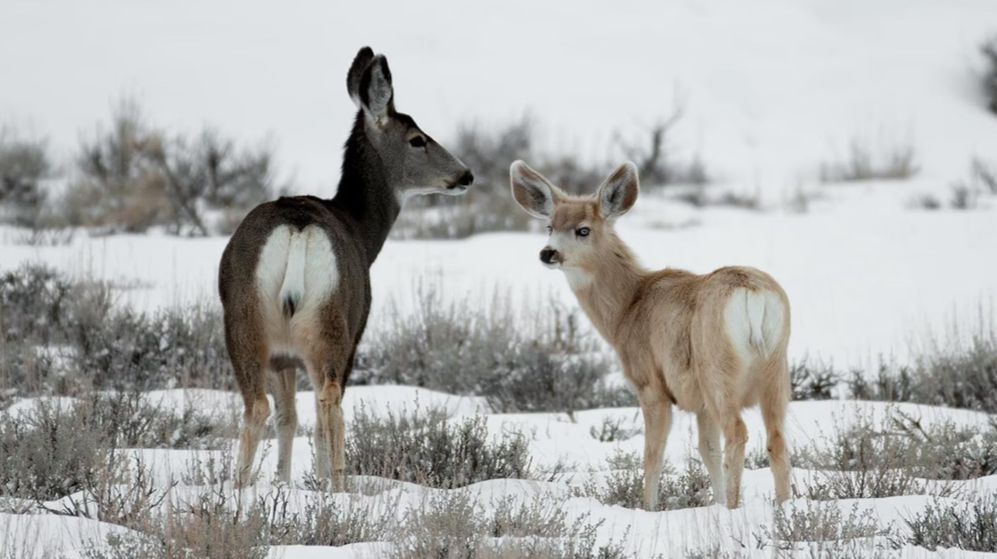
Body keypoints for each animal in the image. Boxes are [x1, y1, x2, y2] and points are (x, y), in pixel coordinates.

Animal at [221, 46, 474, 488]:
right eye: (417, 139)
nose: (465, 175)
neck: (359, 229)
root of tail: (298, 227)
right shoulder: (356, 332)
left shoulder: (284, 356)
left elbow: (288, 417)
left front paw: (282, 482)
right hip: (332, 322)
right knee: (329, 401)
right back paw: (338, 486)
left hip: (244, 321)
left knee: (258, 405)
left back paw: (238, 488)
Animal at [510, 160, 788, 510]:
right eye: (549, 226)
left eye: (583, 229)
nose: (548, 253)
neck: (628, 307)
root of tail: (753, 294)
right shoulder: (700, 403)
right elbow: (707, 450)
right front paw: (713, 501)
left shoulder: (650, 383)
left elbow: (652, 454)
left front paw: (649, 508)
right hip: (776, 368)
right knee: (776, 437)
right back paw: (784, 505)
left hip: (718, 369)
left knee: (737, 432)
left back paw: (734, 508)